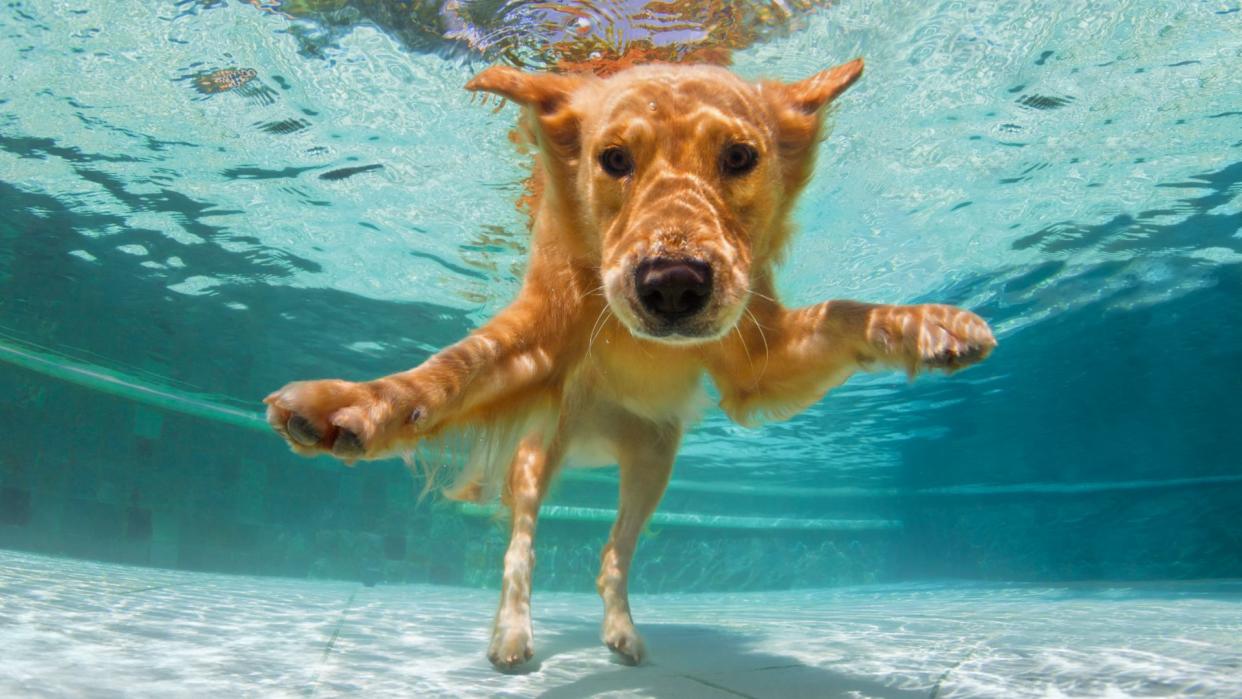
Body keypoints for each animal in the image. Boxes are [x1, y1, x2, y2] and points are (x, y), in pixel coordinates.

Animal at [264, 57, 998, 670]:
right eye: (613, 158)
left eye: (740, 157)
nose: (672, 285)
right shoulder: (536, 338)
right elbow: (450, 370)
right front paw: (351, 404)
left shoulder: (758, 359)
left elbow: (844, 311)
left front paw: (927, 324)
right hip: (539, 452)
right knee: (520, 545)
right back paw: (512, 634)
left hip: (654, 461)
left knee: (611, 555)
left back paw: (621, 632)